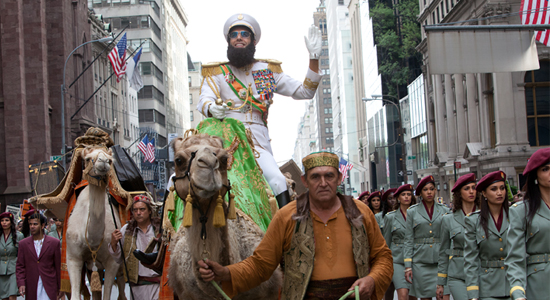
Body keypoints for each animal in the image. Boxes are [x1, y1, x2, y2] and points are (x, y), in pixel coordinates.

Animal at [65, 148, 125, 300]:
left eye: (110, 160)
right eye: (87, 159)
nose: (103, 162)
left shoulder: (112, 262)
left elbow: (107, 295)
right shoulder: (73, 257)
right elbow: (75, 295)